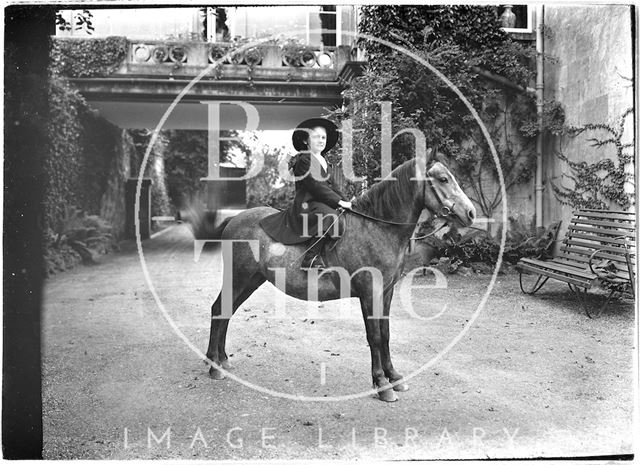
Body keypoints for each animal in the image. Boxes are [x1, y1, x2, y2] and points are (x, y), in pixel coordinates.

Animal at [205, 154, 476, 400]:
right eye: (443, 179)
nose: (471, 213)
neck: (378, 228)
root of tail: (235, 219)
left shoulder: (385, 292)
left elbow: (386, 334)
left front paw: (395, 377)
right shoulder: (369, 292)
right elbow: (375, 336)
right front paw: (382, 384)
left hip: (251, 281)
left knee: (226, 312)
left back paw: (222, 361)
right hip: (238, 278)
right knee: (219, 309)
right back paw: (213, 365)